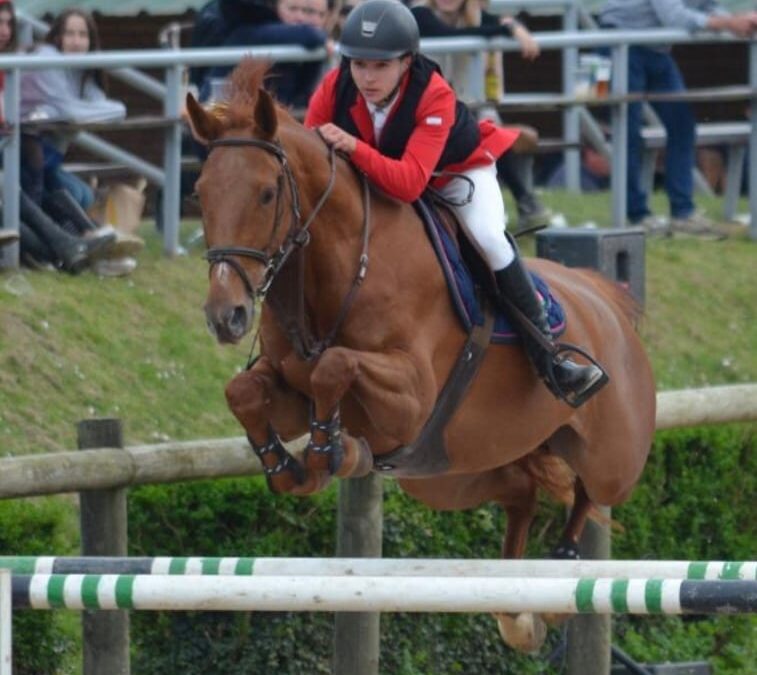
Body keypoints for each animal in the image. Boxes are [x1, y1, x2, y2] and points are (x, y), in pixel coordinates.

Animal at [185, 62, 656, 648]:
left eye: (268, 193)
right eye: (200, 192)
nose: (225, 315)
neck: (335, 270)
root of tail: (605, 297)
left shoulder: (410, 397)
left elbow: (334, 366)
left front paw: (329, 451)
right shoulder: (289, 387)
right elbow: (246, 390)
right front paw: (291, 464)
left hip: (612, 455)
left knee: (592, 492)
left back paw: (560, 571)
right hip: (449, 472)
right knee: (521, 491)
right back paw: (516, 610)